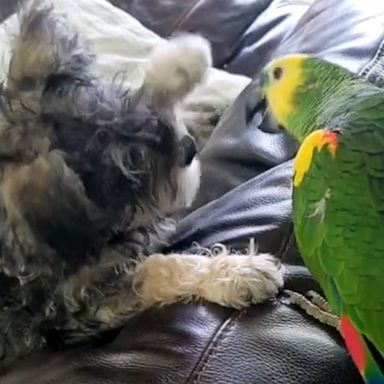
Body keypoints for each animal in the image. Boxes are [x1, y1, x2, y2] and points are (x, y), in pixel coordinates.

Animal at [0, 0, 282, 368]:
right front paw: (239, 273)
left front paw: (215, 107)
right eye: (128, 167)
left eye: (121, 105)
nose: (187, 149)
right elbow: (157, 269)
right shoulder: (79, 307)